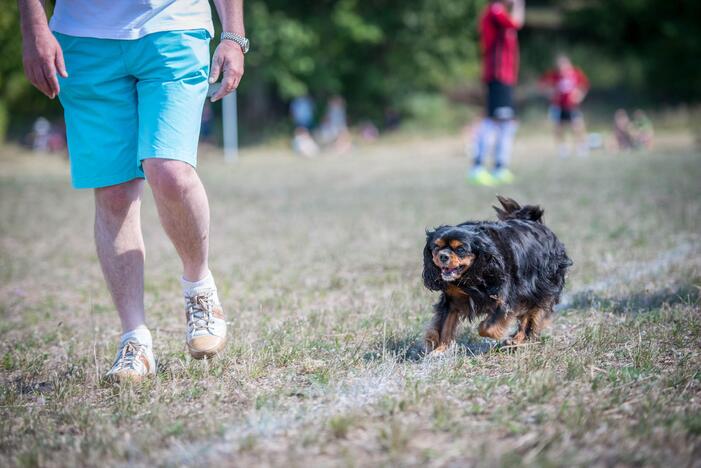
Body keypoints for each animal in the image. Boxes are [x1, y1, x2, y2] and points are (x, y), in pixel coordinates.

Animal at [422, 196, 568, 352]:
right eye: (436, 247)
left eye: (460, 249)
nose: (443, 256)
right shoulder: (451, 300)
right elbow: (444, 326)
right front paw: (439, 351)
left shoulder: (505, 297)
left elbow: (486, 327)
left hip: (540, 288)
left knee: (531, 316)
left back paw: (517, 340)